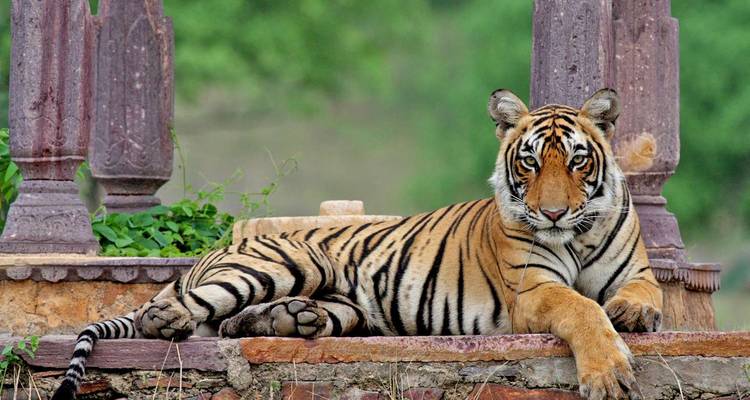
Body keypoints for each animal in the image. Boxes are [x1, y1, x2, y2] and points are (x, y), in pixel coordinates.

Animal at [53, 88, 662, 400]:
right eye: (530, 162)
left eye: (577, 160)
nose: (553, 212)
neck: (578, 233)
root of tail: (209, 254)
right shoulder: (532, 290)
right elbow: (581, 309)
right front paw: (609, 374)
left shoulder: (638, 272)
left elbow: (641, 296)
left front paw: (633, 315)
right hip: (284, 262)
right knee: (170, 312)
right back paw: (175, 319)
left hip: (344, 306)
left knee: (231, 325)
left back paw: (288, 320)